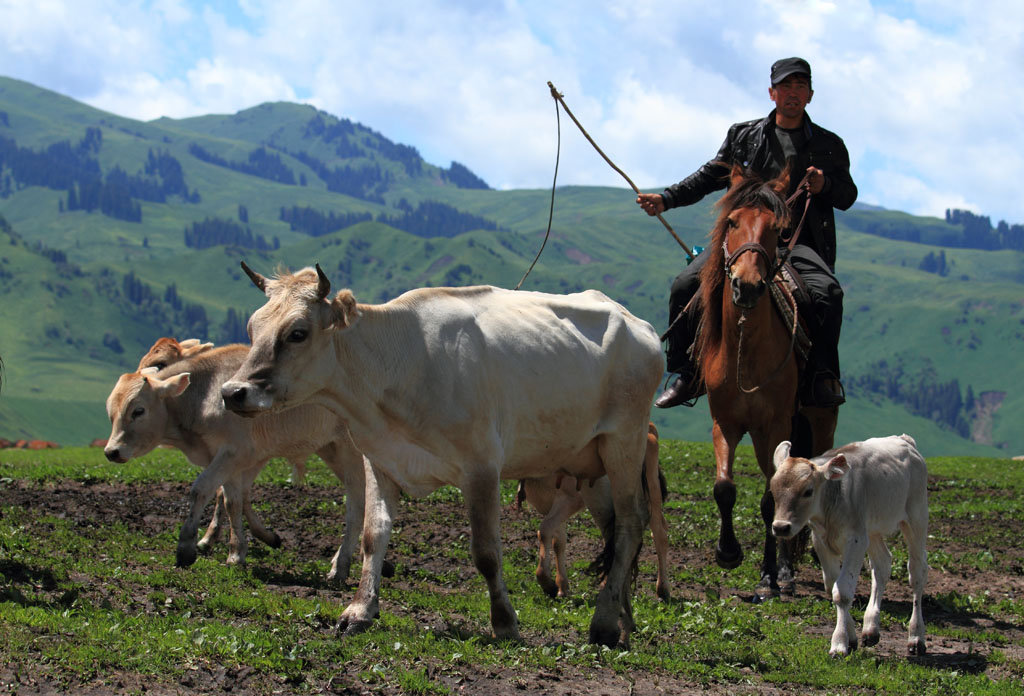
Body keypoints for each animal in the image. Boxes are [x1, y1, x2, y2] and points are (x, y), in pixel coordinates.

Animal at [103, 337, 366, 581]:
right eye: (111, 413)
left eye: (138, 410)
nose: (111, 451)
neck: (204, 393)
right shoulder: (231, 459)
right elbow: (232, 501)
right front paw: (237, 552)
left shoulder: (234, 451)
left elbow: (202, 490)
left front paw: (187, 546)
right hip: (331, 449)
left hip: (352, 452)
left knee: (357, 505)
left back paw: (341, 565)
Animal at [220, 262, 659, 646]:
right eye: (253, 327)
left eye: (298, 332)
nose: (232, 392)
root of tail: (638, 323)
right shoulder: (380, 459)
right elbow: (373, 536)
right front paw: (359, 611)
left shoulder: (481, 464)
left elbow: (486, 552)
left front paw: (504, 624)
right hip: (592, 465)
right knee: (614, 529)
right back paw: (624, 618)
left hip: (625, 439)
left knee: (631, 523)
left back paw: (604, 624)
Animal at [696, 164, 839, 597]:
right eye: (732, 221)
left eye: (778, 228)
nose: (747, 285)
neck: (747, 353)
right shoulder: (725, 422)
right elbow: (724, 488)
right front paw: (728, 553)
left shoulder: (774, 426)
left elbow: (771, 497)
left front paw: (770, 576)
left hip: (819, 420)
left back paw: (792, 568)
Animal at [770, 433, 929, 659]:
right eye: (773, 490)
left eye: (808, 491)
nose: (781, 527)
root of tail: (904, 440)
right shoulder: (821, 540)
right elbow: (832, 586)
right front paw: (851, 637)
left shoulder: (855, 540)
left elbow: (843, 590)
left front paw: (838, 643)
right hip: (871, 530)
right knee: (882, 565)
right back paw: (871, 629)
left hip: (916, 517)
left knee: (917, 572)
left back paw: (916, 638)